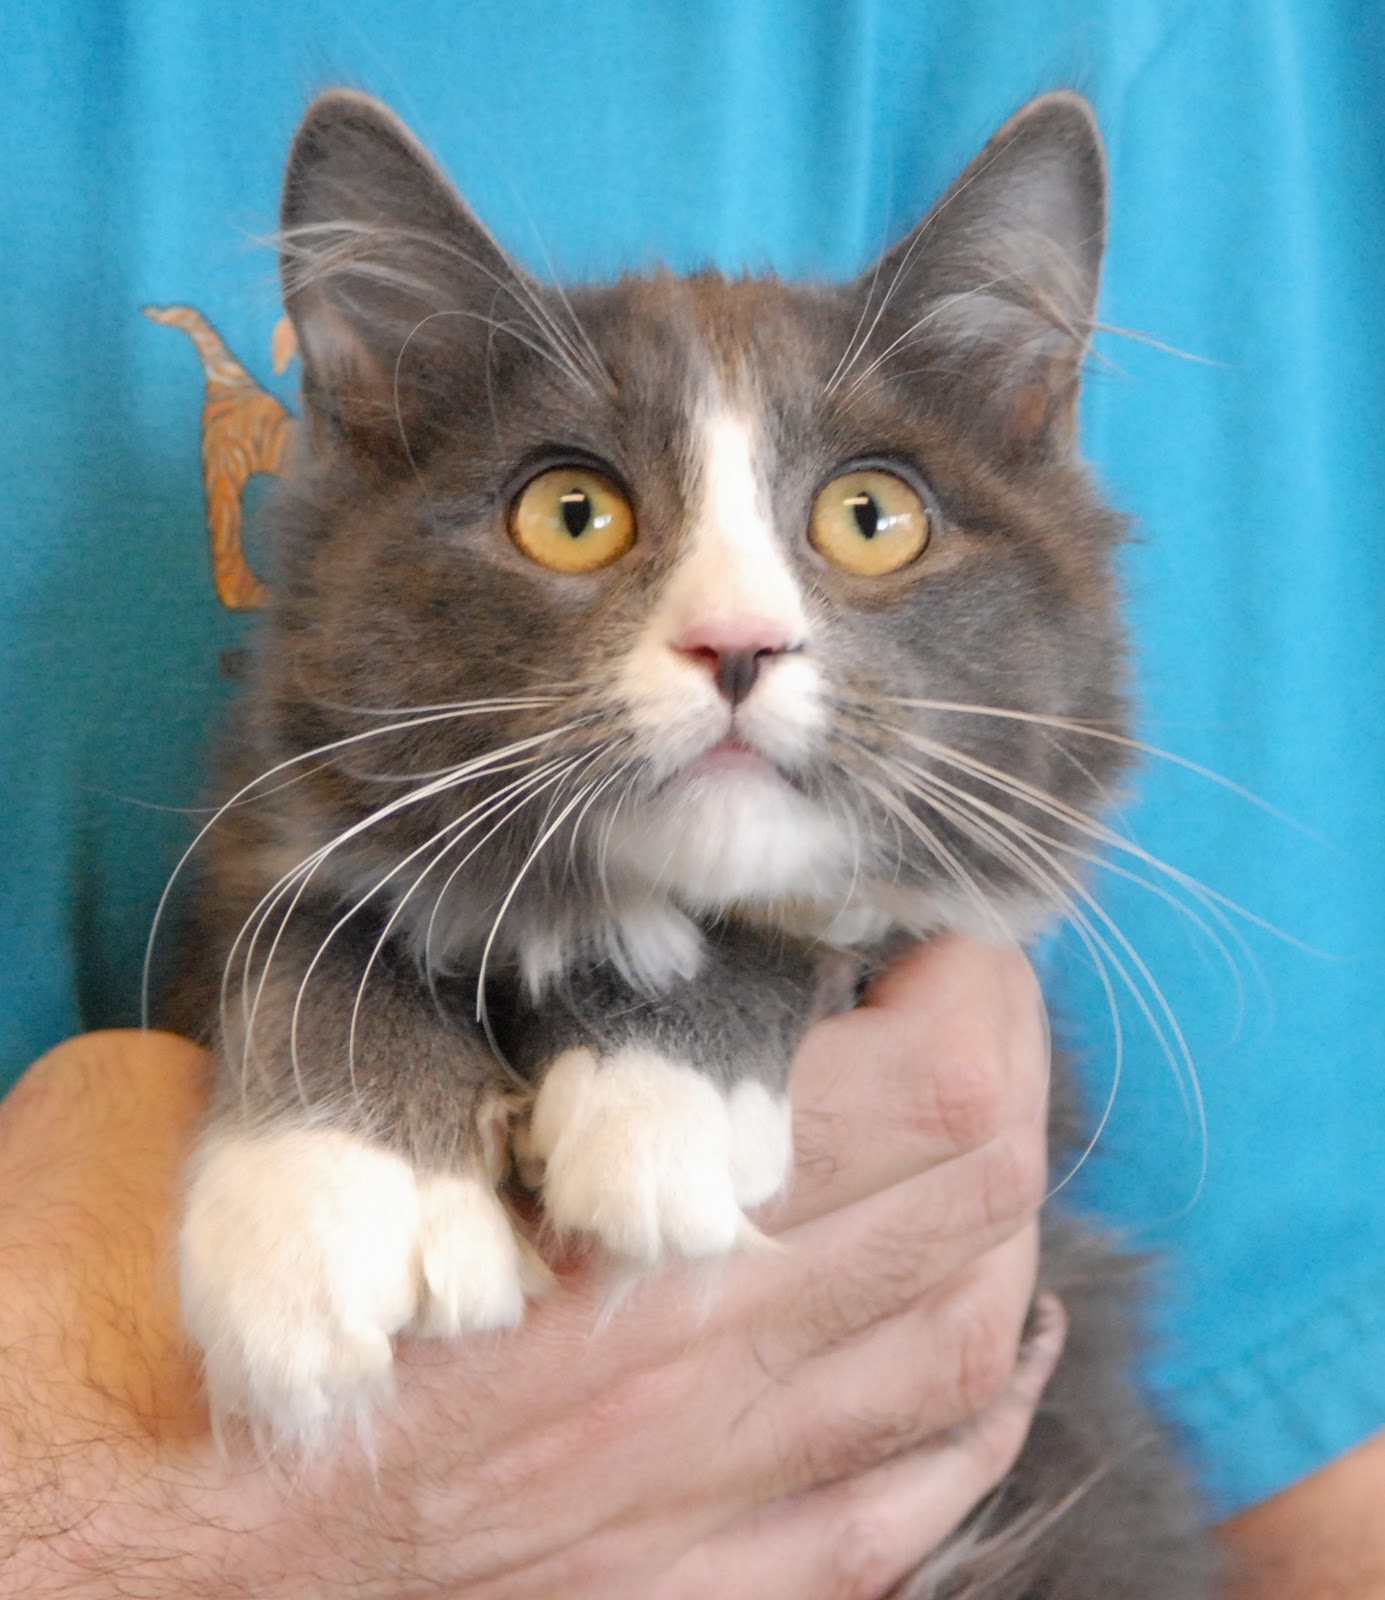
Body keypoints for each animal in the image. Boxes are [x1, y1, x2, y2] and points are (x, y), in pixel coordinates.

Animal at [170, 90, 1209, 1600]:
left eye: (871, 517)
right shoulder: (276, 820)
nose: (738, 642)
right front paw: (322, 1201)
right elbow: (311, 917)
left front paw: (662, 1089)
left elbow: (806, 918)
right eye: (571, 513)